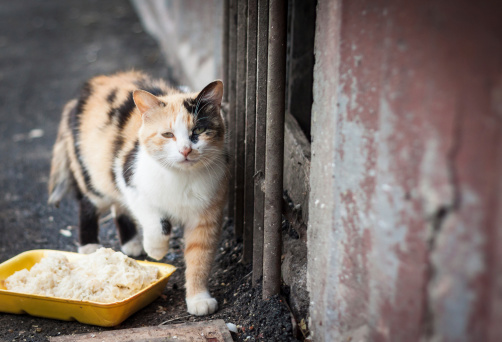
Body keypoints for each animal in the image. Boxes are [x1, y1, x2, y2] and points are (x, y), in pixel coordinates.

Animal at [47, 71, 227, 316]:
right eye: (168, 134)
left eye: (198, 130)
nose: (186, 150)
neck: (182, 177)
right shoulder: (131, 181)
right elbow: (157, 223)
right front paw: (156, 250)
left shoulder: (207, 215)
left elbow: (200, 257)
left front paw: (199, 299)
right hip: (93, 173)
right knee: (89, 203)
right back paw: (90, 246)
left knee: (118, 208)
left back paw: (131, 243)